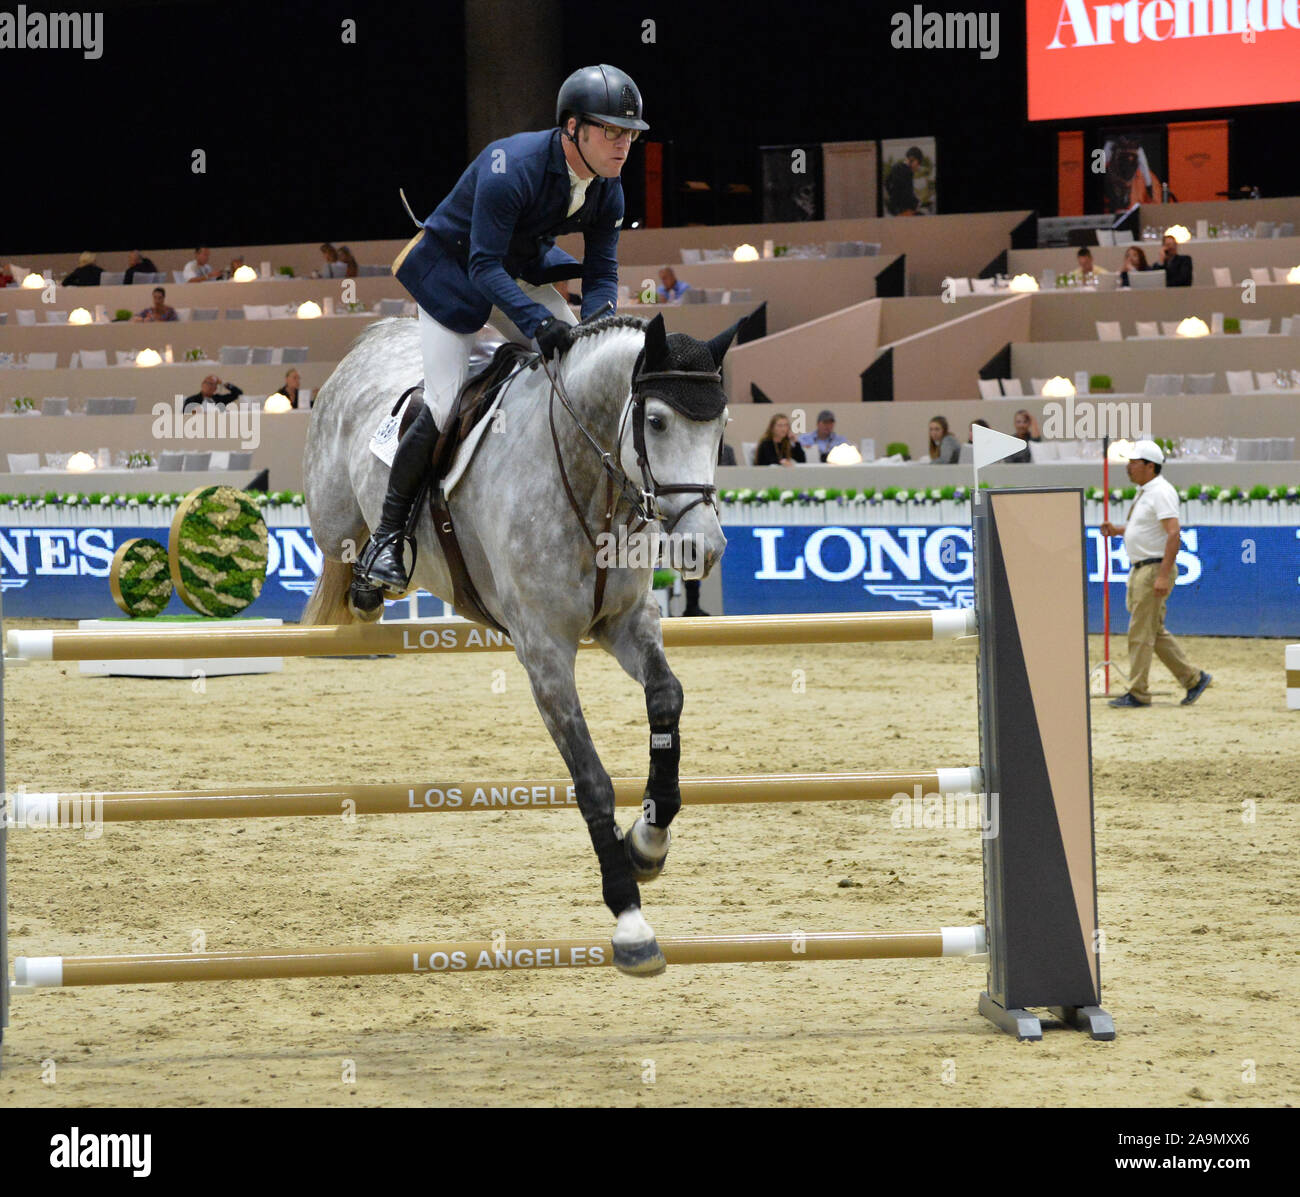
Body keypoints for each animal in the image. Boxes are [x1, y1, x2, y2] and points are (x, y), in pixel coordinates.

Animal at [297, 313, 738, 977]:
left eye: (721, 426)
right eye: (657, 421)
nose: (701, 549)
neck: (590, 482)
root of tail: (375, 337)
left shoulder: (625, 622)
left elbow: (666, 697)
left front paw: (648, 841)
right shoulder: (544, 651)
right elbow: (591, 780)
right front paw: (630, 921)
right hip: (334, 516)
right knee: (342, 551)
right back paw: (374, 576)